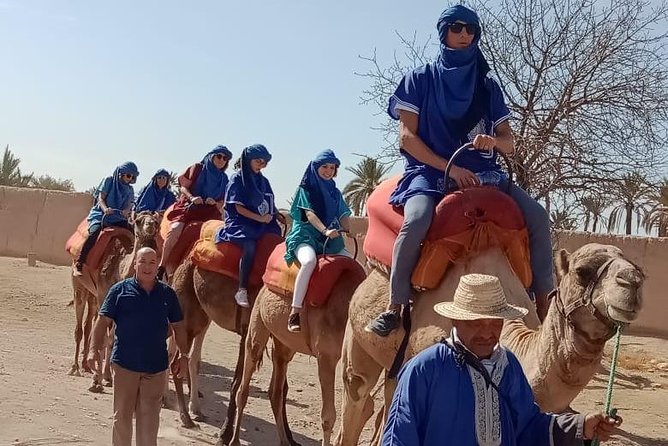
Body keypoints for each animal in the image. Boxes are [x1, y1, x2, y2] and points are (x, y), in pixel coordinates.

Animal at [68, 211, 160, 391]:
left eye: (157, 221)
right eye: (139, 221)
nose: (150, 225)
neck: (119, 269)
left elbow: (111, 338)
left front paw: (108, 377)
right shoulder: (104, 296)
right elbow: (104, 336)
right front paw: (97, 379)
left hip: (93, 296)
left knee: (88, 326)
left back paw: (86, 365)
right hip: (79, 286)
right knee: (79, 327)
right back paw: (75, 367)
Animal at [227, 257, 366, 446]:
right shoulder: (326, 357)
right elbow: (328, 417)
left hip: (285, 345)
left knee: (276, 390)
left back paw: (285, 441)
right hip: (258, 320)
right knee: (244, 385)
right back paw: (234, 440)